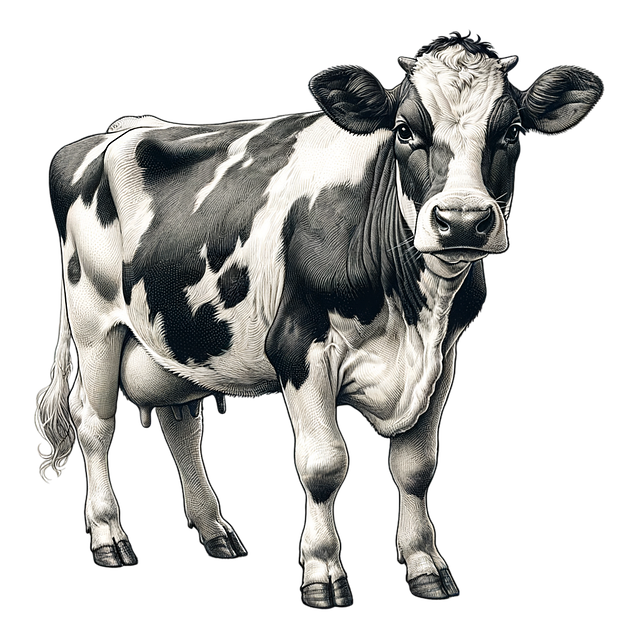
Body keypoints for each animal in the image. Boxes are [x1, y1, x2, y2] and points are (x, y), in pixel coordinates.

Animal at [35, 33, 603, 608]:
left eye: (512, 132)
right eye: (404, 130)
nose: (462, 220)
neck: (412, 320)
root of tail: (114, 132)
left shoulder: (442, 358)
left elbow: (416, 469)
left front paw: (425, 565)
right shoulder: (296, 345)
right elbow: (324, 464)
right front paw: (323, 571)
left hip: (175, 338)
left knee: (181, 423)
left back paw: (215, 531)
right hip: (94, 321)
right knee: (93, 421)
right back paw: (109, 537)